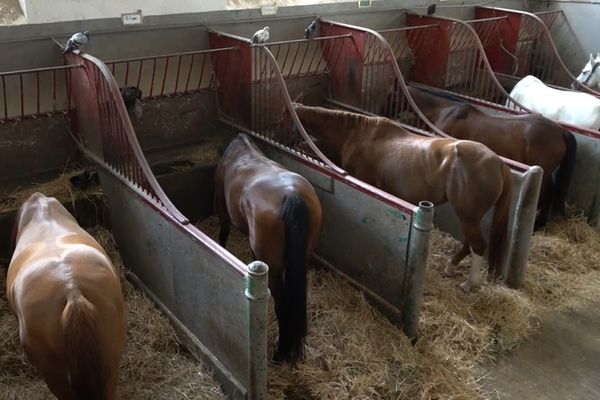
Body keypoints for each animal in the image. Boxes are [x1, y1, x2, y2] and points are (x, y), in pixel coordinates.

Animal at [213, 132, 322, 362]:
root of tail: (291, 194)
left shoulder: (220, 204)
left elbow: (223, 231)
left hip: (274, 268)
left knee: (282, 303)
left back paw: (281, 352)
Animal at [288, 101, 512, 292]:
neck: (357, 135)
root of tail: (499, 164)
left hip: (467, 216)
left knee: (478, 245)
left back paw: (469, 284)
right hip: (469, 216)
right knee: (469, 243)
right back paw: (450, 268)